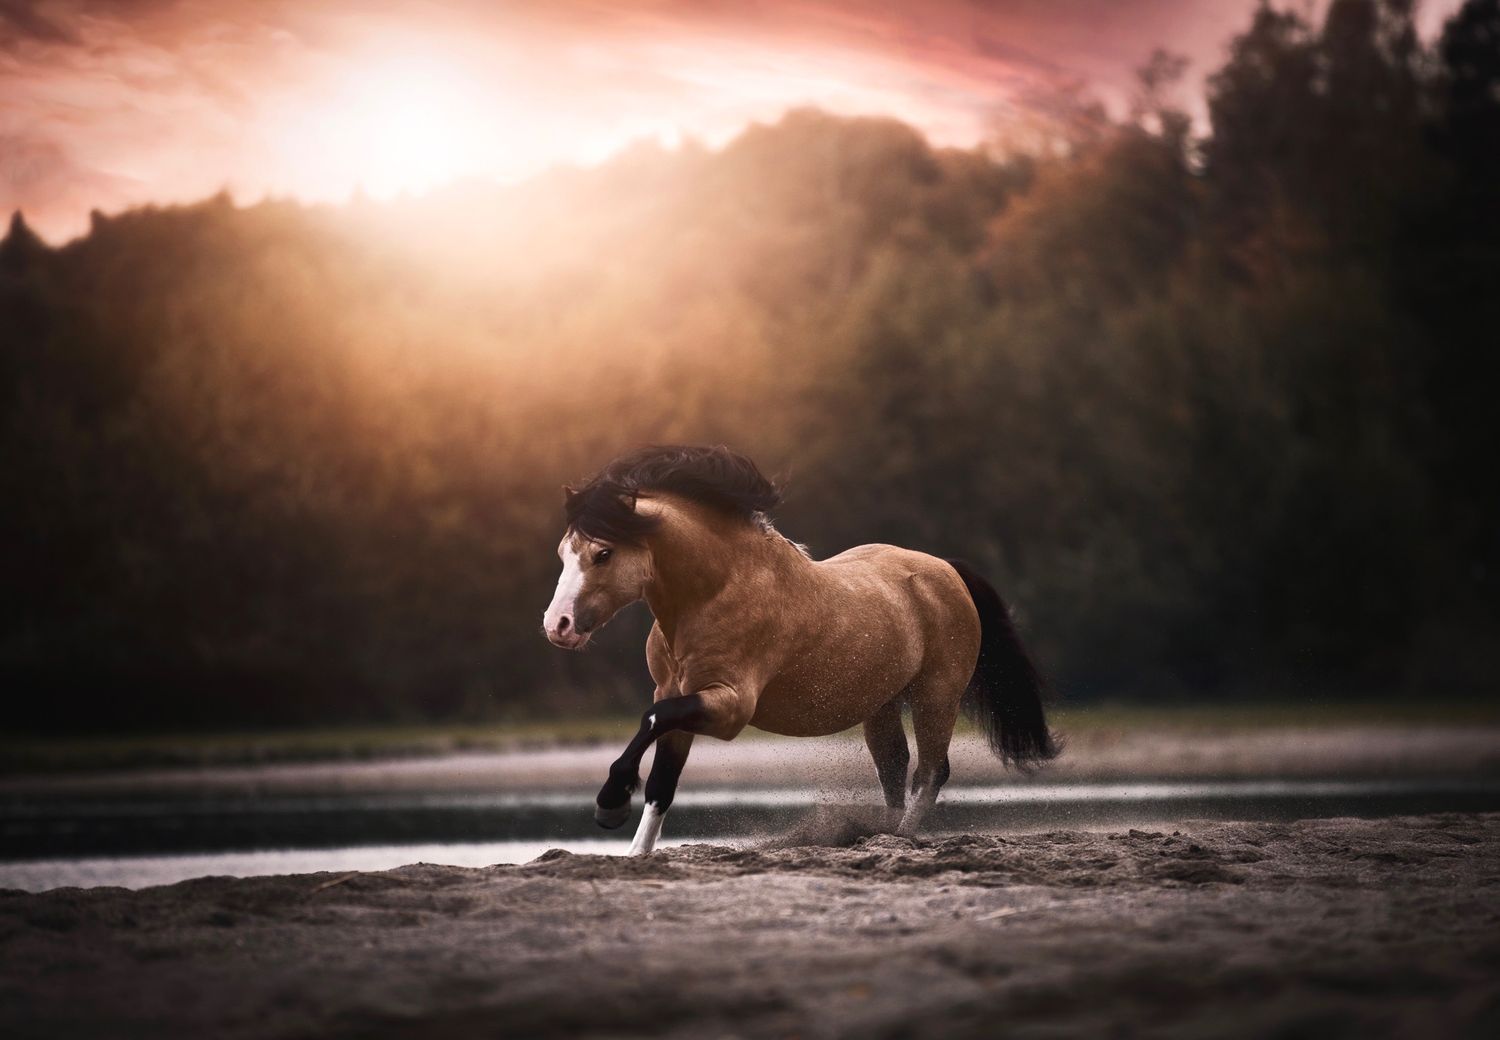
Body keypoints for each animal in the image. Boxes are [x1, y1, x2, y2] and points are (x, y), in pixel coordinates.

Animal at [541, 444, 1058, 855]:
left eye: (603, 553)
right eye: (564, 553)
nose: (557, 626)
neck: (717, 592)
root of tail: (946, 571)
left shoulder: (728, 707)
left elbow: (652, 721)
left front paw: (610, 804)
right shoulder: (675, 692)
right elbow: (662, 782)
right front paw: (635, 850)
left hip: (937, 696)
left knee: (931, 773)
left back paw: (898, 839)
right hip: (882, 704)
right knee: (895, 771)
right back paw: (877, 836)